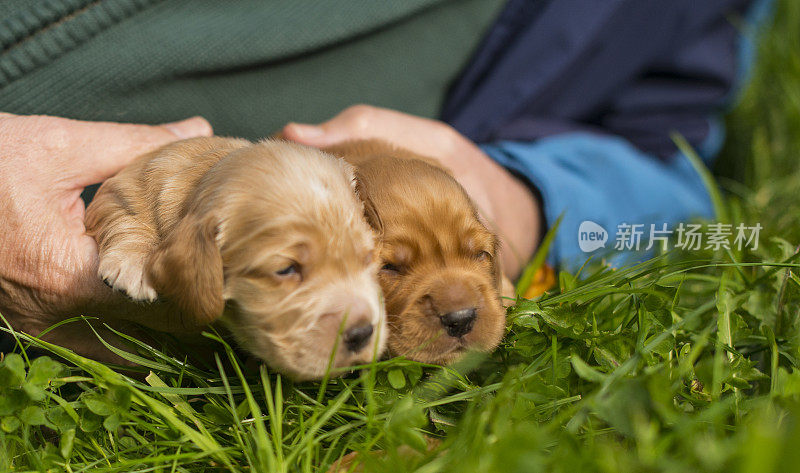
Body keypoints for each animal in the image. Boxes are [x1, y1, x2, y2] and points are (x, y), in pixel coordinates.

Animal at [86, 136, 386, 380]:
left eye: (367, 257)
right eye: (286, 270)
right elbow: (128, 215)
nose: (362, 333)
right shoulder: (120, 188)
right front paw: (134, 263)